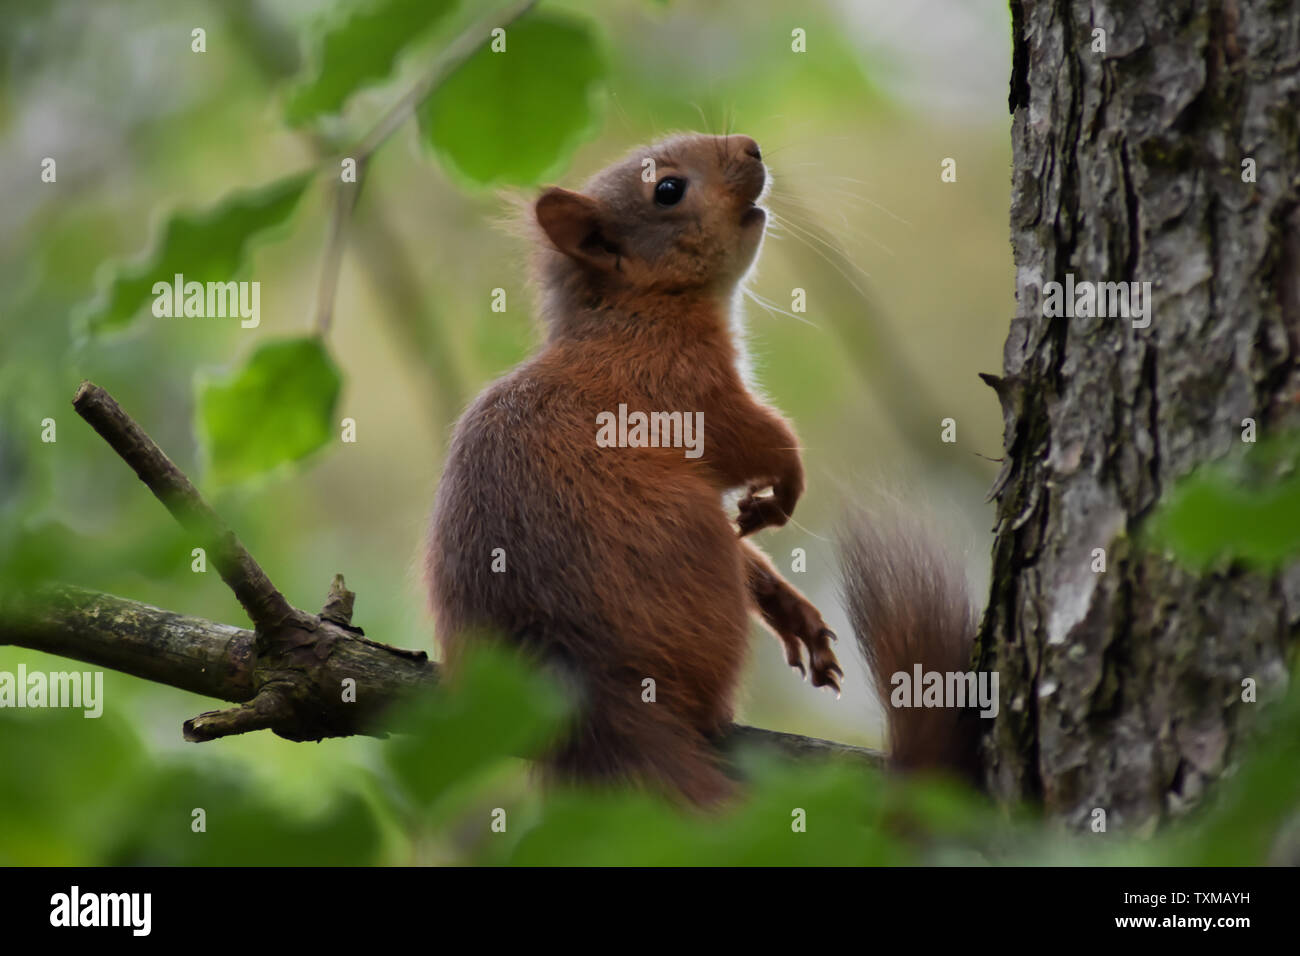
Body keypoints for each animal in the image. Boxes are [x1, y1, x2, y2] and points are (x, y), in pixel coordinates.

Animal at [426, 133, 978, 804]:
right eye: (668, 190)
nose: (752, 146)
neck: (637, 307)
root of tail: (589, 696)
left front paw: (788, 604)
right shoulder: (685, 386)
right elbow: (753, 438)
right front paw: (787, 484)